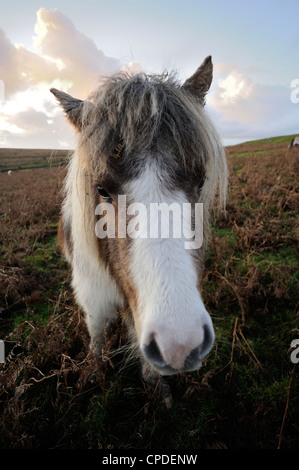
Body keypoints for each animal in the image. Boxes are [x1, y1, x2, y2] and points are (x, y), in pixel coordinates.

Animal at [51, 54, 229, 386]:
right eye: (101, 189)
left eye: (201, 182)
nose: (179, 345)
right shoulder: (93, 296)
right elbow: (97, 334)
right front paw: (94, 370)